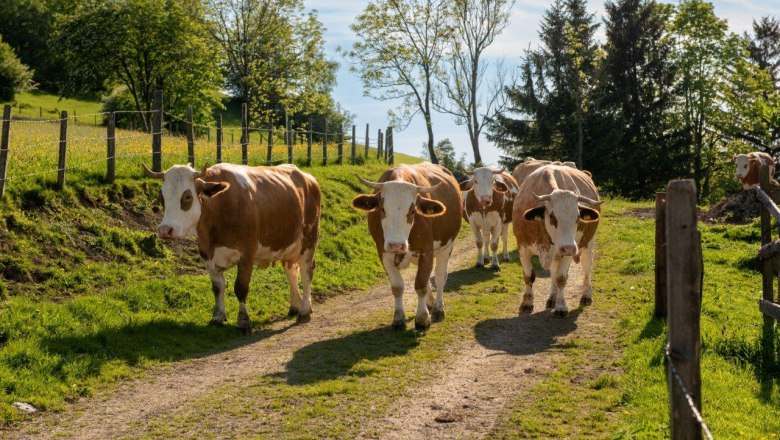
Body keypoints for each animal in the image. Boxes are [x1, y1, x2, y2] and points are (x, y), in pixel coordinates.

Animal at [143, 162, 321, 331]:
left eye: (187, 196)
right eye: (161, 197)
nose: (165, 230)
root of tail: (307, 177)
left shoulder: (247, 254)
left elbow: (240, 288)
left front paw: (243, 322)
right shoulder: (207, 255)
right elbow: (217, 287)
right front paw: (217, 317)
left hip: (309, 239)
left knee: (306, 272)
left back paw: (304, 310)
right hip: (287, 244)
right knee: (291, 271)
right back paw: (295, 306)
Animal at [352, 162, 462, 331]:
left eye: (412, 211)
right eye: (382, 209)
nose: (396, 245)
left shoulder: (426, 250)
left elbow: (421, 284)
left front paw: (422, 319)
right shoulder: (383, 252)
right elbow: (398, 286)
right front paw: (398, 318)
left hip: (447, 246)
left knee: (439, 276)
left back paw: (438, 309)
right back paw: (430, 304)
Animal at [513, 164, 602, 317]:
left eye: (578, 216)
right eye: (552, 216)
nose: (569, 248)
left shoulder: (569, 249)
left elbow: (561, 278)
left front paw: (561, 306)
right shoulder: (522, 247)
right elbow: (529, 276)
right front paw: (527, 303)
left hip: (587, 244)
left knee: (586, 268)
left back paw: (586, 295)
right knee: (553, 272)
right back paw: (552, 298)